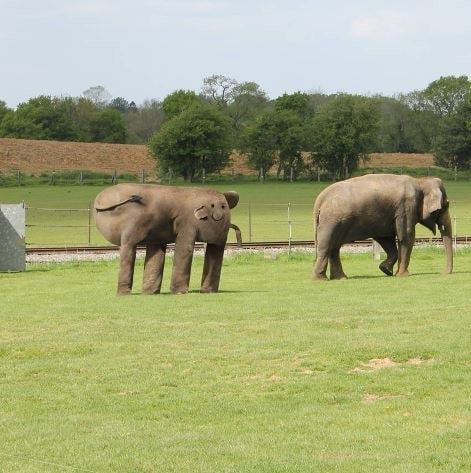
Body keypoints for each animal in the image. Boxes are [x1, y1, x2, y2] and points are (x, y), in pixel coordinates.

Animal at [94, 183, 242, 294]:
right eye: (213, 206)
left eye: (224, 206)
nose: (219, 214)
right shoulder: (187, 223)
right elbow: (184, 248)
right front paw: (179, 293)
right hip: (132, 224)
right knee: (128, 245)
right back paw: (124, 294)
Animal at [314, 173, 454, 278]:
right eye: (446, 205)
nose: (442, 273)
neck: (419, 181)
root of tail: (319, 200)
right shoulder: (406, 208)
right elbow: (406, 237)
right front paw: (403, 275)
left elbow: (386, 239)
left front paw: (386, 270)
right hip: (331, 222)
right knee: (326, 246)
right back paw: (321, 279)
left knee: (334, 247)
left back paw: (340, 278)